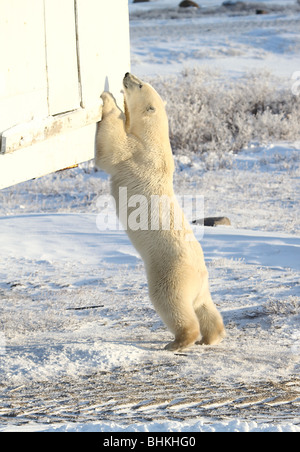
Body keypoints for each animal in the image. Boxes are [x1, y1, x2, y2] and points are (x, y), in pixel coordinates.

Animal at [96, 72, 225, 352]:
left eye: (139, 84)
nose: (126, 74)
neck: (155, 141)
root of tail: (199, 276)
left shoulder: (137, 154)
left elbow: (111, 149)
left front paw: (107, 99)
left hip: (170, 274)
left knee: (171, 303)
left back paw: (178, 342)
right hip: (202, 285)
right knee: (205, 307)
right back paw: (212, 336)